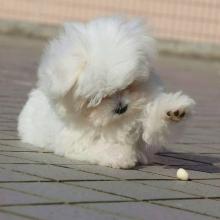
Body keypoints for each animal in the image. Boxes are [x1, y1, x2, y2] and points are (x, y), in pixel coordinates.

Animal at [18, 16, 195, 168]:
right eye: (96, 98)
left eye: (129, 85)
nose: (121, 108)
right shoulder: (77, 141)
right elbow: (99, 146)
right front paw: (121, 155)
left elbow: (154, 125)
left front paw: (173, 111)